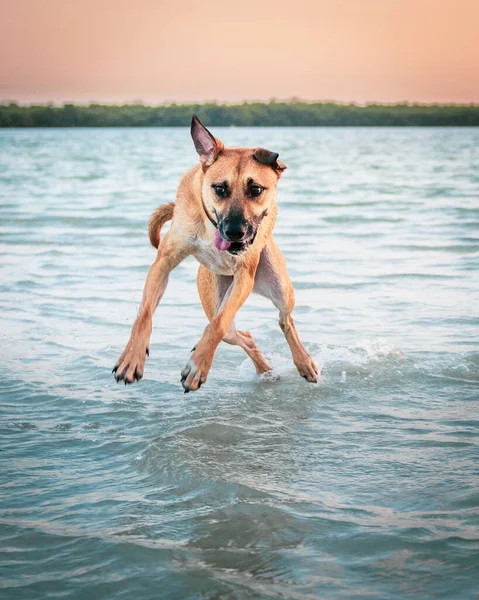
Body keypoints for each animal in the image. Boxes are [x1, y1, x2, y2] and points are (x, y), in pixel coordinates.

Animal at [112, 116, 318, 394]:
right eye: (219, 189)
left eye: (256, 190)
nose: (234, 232)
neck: (210, 227)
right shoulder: (163, 262)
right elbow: (144, 314)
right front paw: (132, 358)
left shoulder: (244, 278)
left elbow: (216, 326)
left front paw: (197, 367)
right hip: (216, 299)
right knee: (242, 336)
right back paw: (265, 370)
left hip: (279, 288)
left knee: (283, 321)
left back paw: (303, 362)